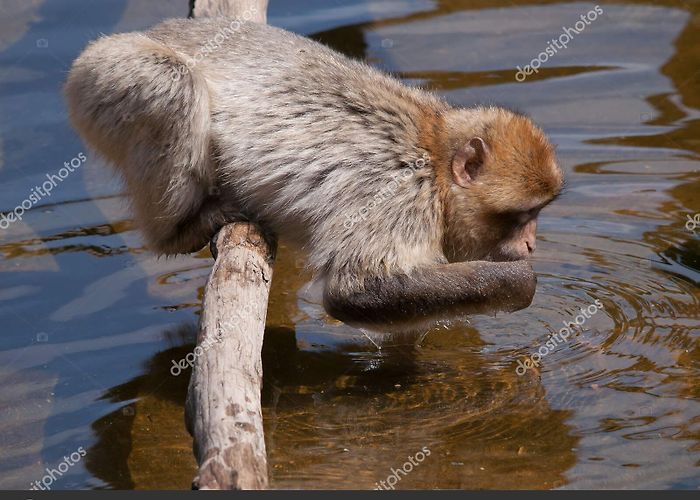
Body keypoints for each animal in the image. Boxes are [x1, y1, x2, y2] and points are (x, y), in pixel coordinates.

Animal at [64, 18, 562, 326]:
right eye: (523, 216)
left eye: (538, 214)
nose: (532, 243)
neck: (435, 155)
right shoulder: (399, 190)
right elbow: (356, 288)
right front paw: (520, 282)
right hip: (107, 76)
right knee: (172, 83)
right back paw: (178, 231)